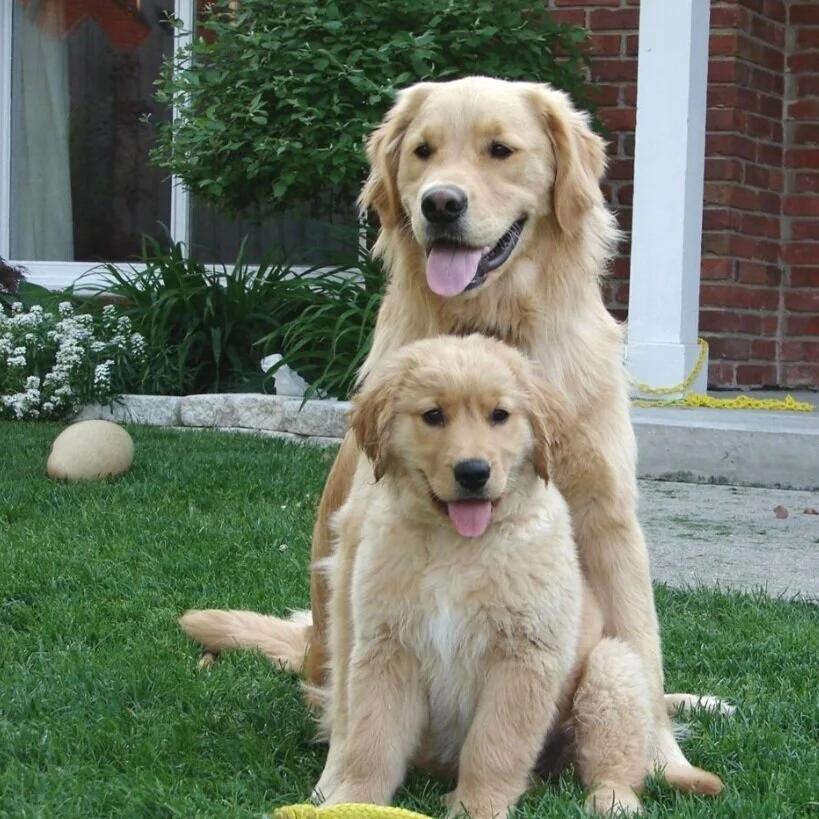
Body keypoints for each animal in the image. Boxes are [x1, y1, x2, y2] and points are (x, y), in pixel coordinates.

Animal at [181, 76, 732, 782]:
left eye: (501, 150)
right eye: (422, 151)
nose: (440, 203)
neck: (491, 322)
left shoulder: (607, 517)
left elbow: (641, 641)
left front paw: (664, 761)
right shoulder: (365, 533)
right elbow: (362, 688)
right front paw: (340, 780)